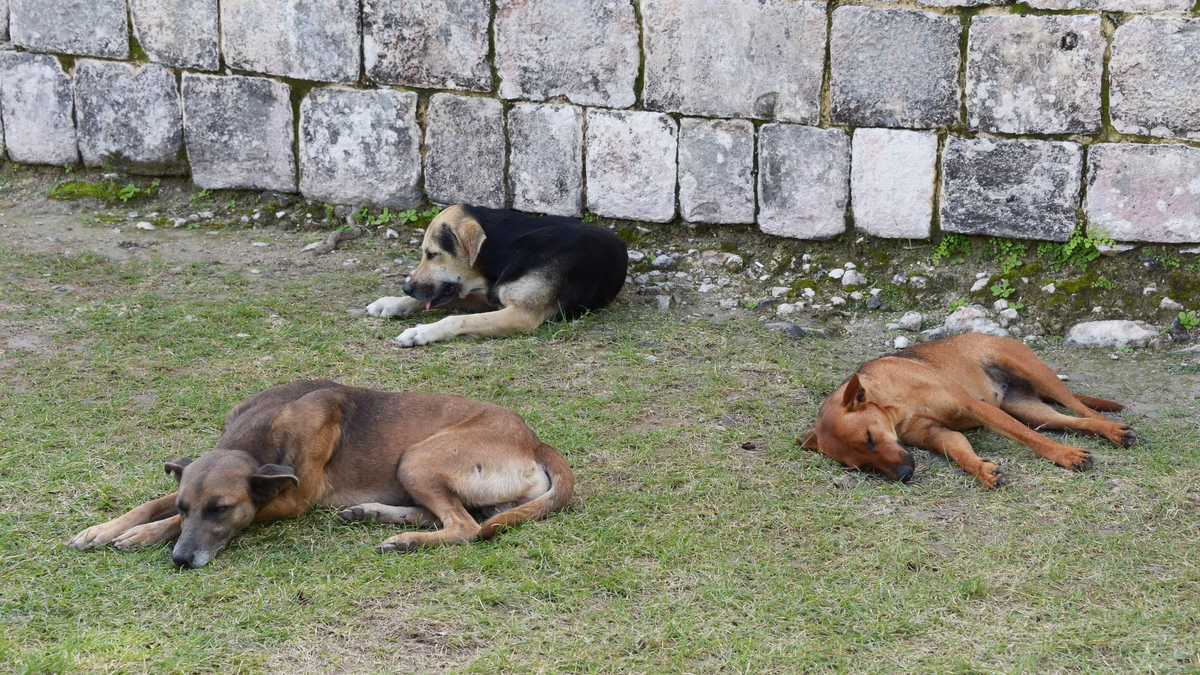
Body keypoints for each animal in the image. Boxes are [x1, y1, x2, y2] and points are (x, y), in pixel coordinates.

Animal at [70, 381, 576, 564]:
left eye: (221, 509)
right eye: (186, 504)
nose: (181, 560)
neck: (259, 433)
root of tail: (534, 440)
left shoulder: (292, 499)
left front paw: (141, 535)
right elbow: (154, 504)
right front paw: (103, 529)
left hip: (416, 458)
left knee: (465, 527)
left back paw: (406, 540)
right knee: (454, 515)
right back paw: (375, 514)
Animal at [364, 201, 628, 343]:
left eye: (432, 254)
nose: (406, 288)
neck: (508, 251)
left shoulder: (521, 315)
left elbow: (457, 319)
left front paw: (422, 331)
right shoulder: (488, 297)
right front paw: (394, 302)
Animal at [796, 331, 1132, 485]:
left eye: (869, 438)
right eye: (863, 467)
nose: (905, 474)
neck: (894, 403)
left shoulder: (973, 407)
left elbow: (1027, 438)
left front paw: (1064, 455)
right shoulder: (939, 435)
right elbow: (961, 453)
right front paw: (982, 469)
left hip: (1038, 375)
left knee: (1081, 409)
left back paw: (1113, 430)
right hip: (1033, 411)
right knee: (1072, 421)